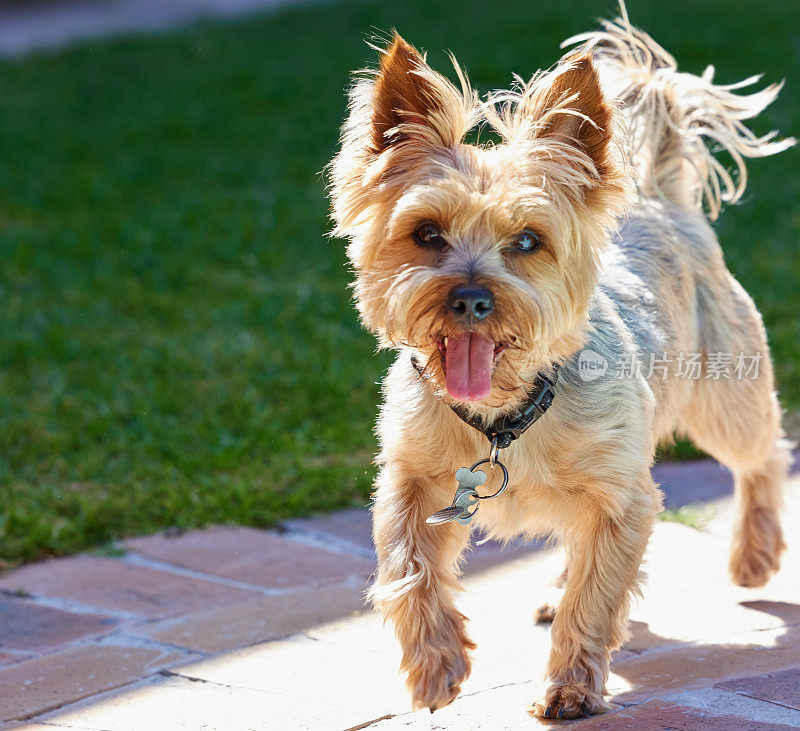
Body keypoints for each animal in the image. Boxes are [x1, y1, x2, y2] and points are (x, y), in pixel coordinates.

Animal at [326, 7, 792, 720]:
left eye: (527, 241)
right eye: (426, 233)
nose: (471, 297)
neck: (503, 414)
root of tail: (662, 200)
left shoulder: (621, 498)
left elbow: (596, 596)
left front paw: (572, 685)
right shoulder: (412, 481)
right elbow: (406, 567)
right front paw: (436, 666)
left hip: (723, 397)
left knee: (761, 454)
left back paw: (754, 553)